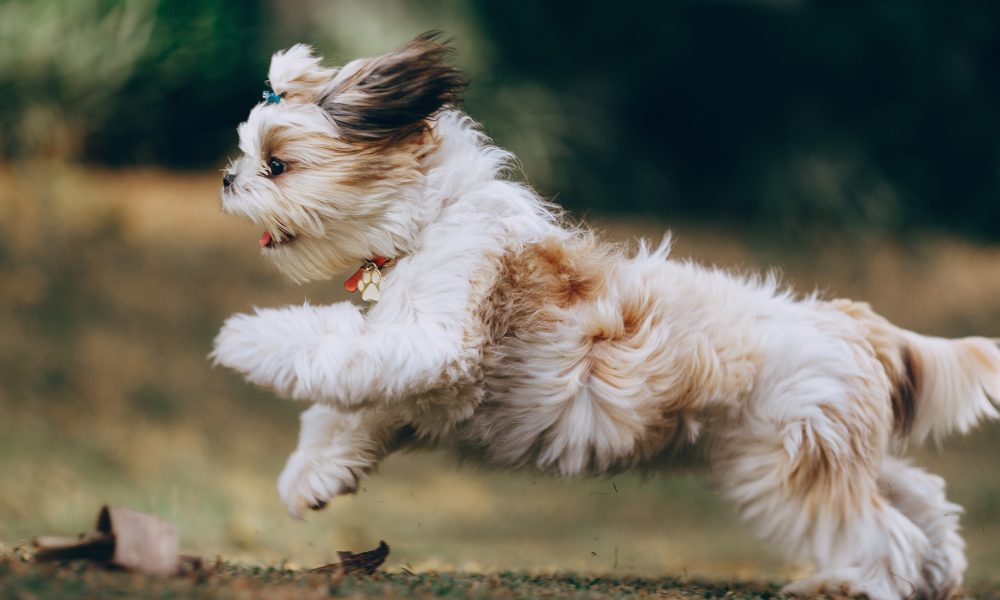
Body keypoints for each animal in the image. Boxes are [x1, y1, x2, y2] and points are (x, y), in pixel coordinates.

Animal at [213, 34, 1000, 600]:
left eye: (277, 164)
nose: (226, 178)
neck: (430, 222)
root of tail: (850, 322)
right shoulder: (414, 381)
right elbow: (341, 409)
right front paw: (311, 479)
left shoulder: (436, 342)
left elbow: (331, 345)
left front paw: (244, 338)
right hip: (832, 446)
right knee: (921, 501)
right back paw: (937, 570)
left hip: (790, 467)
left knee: (881, 534)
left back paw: (854, 583)